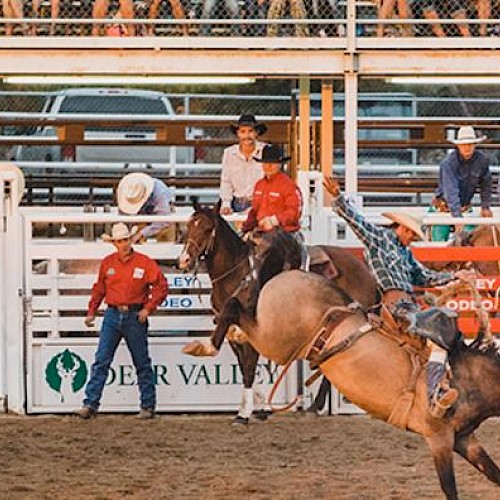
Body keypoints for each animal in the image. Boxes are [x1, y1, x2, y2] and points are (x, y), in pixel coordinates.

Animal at [178, 201, 376, 424]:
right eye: (188, 226)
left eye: (207, 228)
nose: (184, 260)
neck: (237, 274)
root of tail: (366, 272)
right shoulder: (232, 333)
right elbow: (243, 367)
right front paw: (261, 405)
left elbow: (249, 369)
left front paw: (244, 414)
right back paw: (316, 405)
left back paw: (318, 404)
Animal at [210, 270, 500, 500]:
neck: (468, 377)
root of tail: (287, 275)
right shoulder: (439, 437)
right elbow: (449, 487)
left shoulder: (463, 437)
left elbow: (494, 473)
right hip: (276, 342)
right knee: (235, 308)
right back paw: (210, 343)